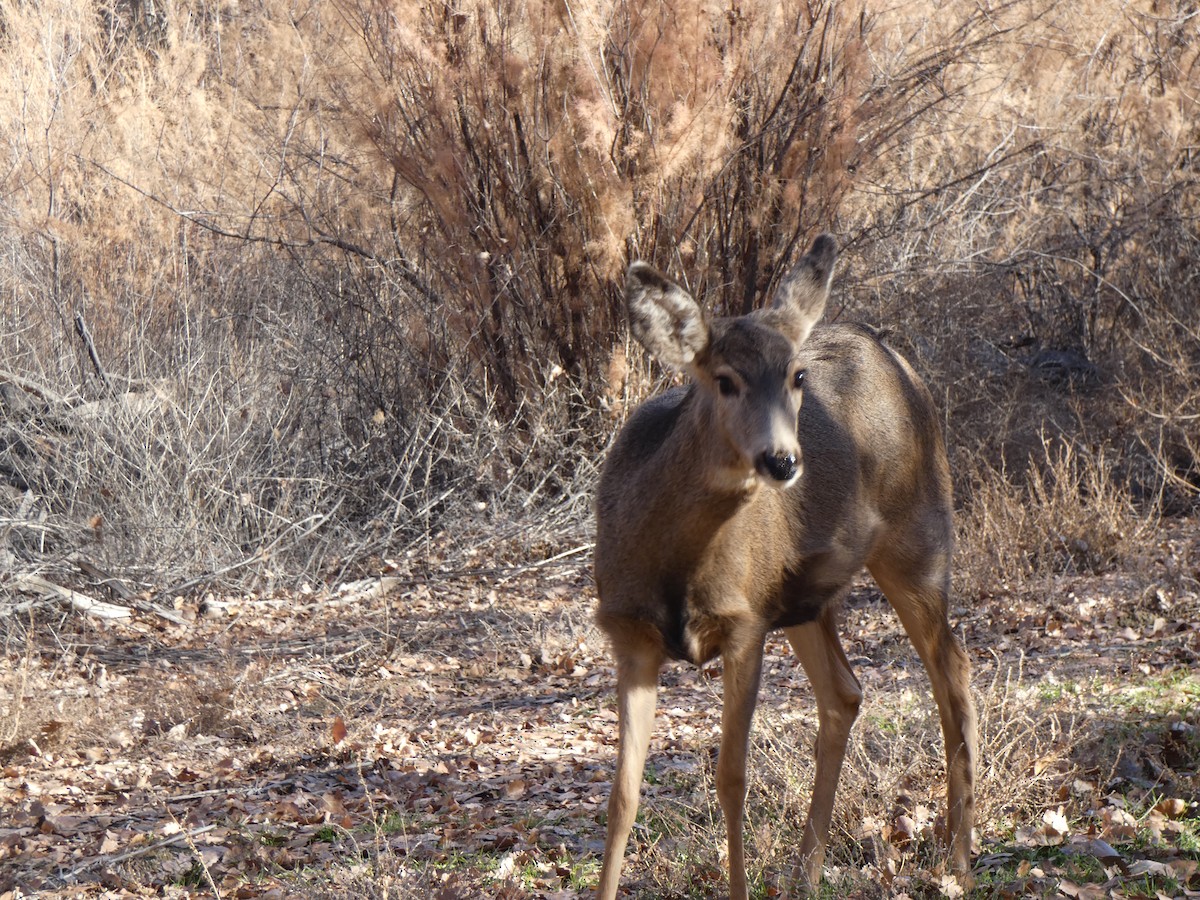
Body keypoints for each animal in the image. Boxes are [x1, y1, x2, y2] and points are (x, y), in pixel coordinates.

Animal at [592, 234, 977, 899]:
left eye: (797, 376)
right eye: (723, 380)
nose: (782, 459)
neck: (671, 564)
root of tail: (897, 360)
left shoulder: (745, 623)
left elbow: (731, 778)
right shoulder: (629, 636)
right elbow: (622, 795)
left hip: (920, 541)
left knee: (953, 671)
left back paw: (958, 858)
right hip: (803, 598)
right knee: (845, 693)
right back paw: (807, 869)